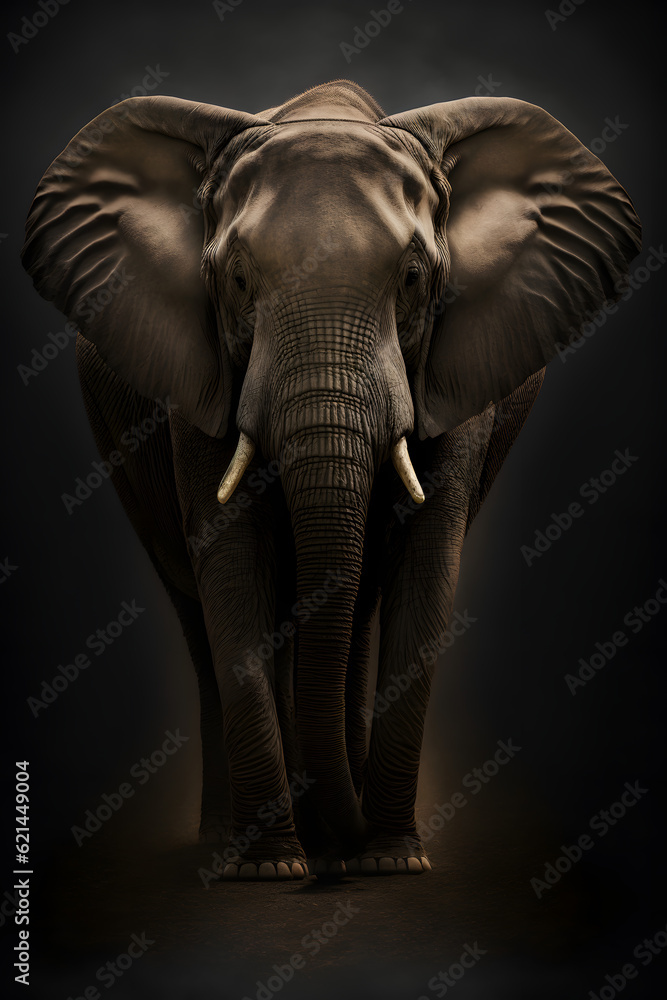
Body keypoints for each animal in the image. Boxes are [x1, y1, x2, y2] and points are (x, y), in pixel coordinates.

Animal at [22, 80, 640, 880]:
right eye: (237, 279)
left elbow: (424, 570)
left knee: (359, 603)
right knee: (199, 611)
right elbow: (232, 570)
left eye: (412, 279)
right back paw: (237, 841)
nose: (342, 853)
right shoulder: (200, 376)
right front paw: (269, 869)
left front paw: (390, 862)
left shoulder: (453, 372)